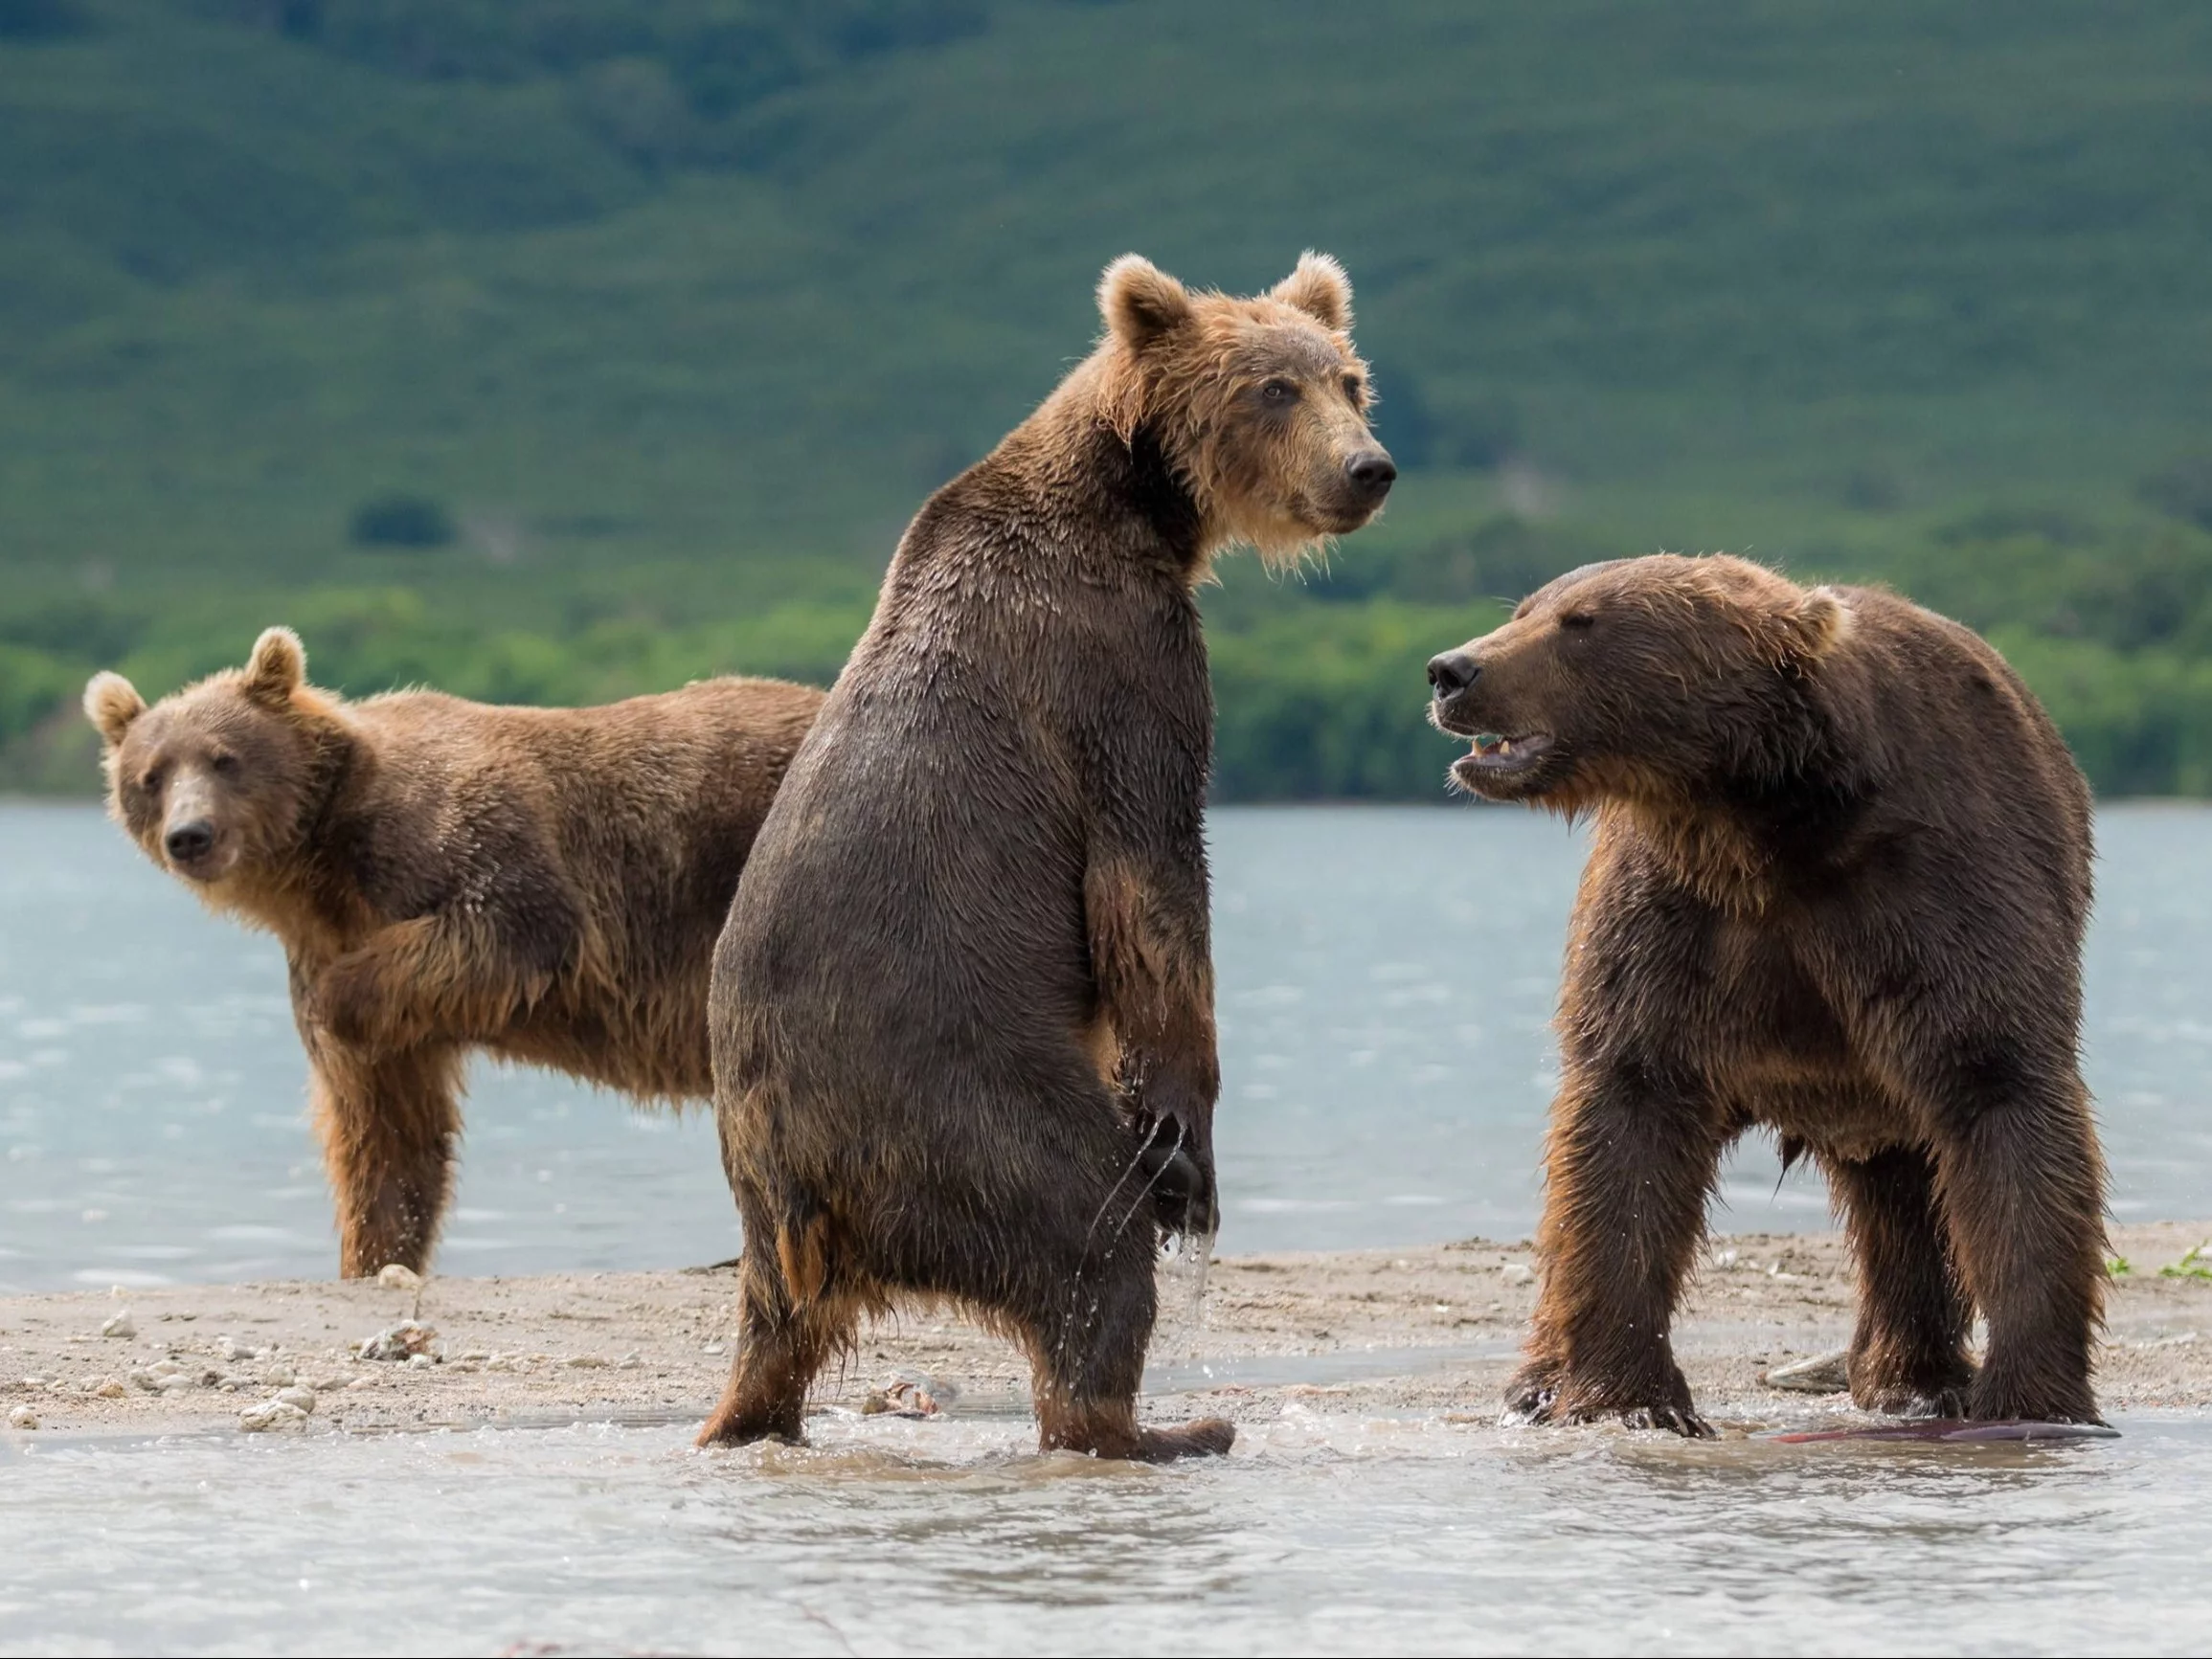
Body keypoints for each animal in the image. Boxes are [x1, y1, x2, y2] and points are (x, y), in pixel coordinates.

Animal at [83, 628, 831, 1283]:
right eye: (150, 776)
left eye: (224, 757)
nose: (191, 835)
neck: (322, 872)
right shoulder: (338, 961)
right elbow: (387, 1131)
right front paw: (371, 1255)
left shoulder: (450, 843)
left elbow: (516, 923)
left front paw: (337, 997)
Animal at [703, 253, 1397, 1460]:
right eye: (1272, 388)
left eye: (1349, 379)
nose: (1369, 468)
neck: (1136, 504)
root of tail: (807, 1180)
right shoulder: (1121, 668)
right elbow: (1151, 889)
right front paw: (1186, 1140)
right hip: (956, 1094)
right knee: (1085, 1230)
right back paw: (1162, 1422)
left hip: (772, 1185)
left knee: (776, 1326)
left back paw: (750, 1417)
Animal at [1424, 554, 2096, 1433]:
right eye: (1526, 610)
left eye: (1582, 622)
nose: (1452, 670)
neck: (1756, 821)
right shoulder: (1673, 922)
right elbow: (1626, 1124)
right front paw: (1627, 1398)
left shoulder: (1932, 891)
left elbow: (2003, 1098)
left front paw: (2031, 1400)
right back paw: (1536, 1382)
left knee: (1909, 1195)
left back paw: (1914, 1378)